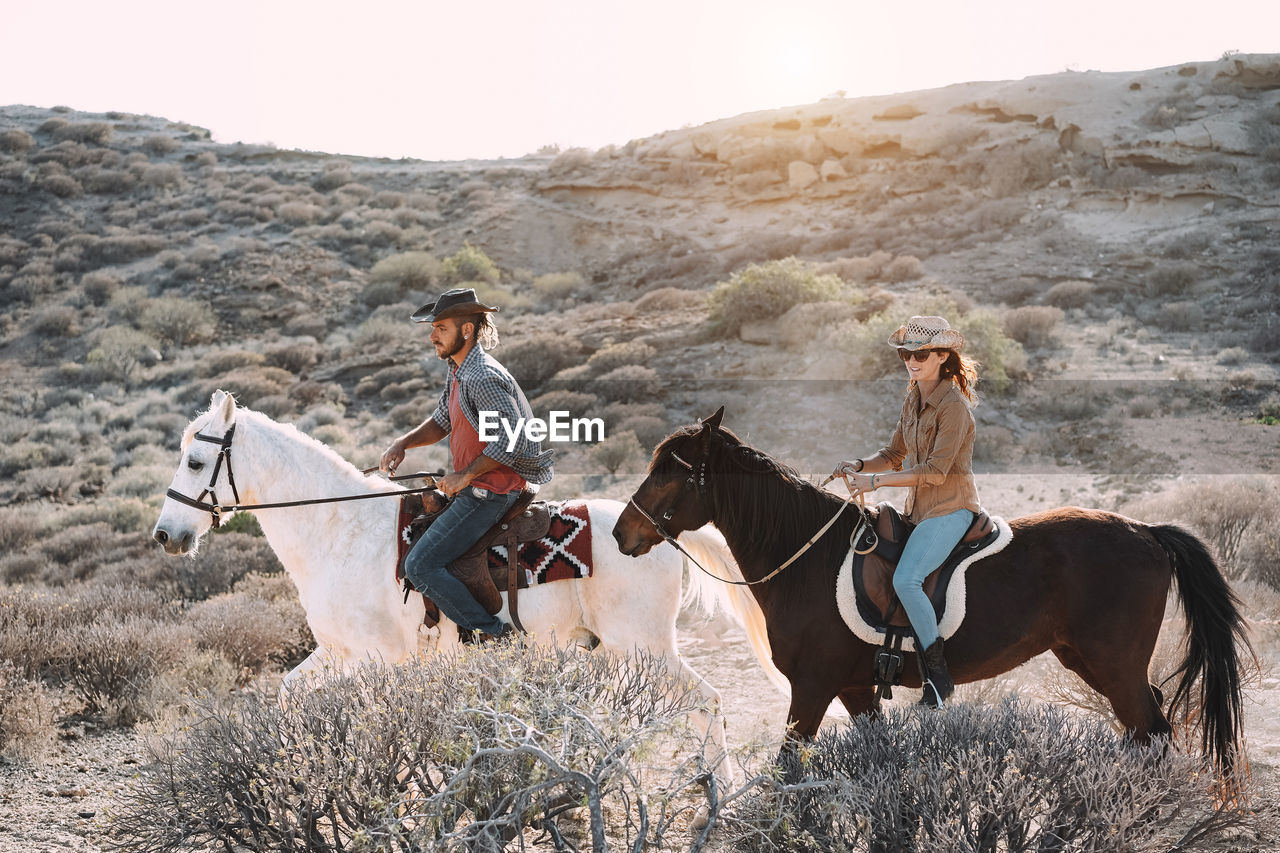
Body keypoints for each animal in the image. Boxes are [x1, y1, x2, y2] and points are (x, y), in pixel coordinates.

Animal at [154, 389, 773, 778]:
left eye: (194, 461)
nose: (165, 535)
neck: (340, 528)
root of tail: (652, 532)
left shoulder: (379, 659)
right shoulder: (337, 652)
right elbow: (288, 697)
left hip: (644, 646)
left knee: (707, 703)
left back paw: (717, 795)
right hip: (618, 652)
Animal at [614, 409, 1254, 773]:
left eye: (670, 471)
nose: (622, 534)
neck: (807, 560)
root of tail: (1146, 531)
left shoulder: (812, 688)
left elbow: (786, 771)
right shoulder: (854, 688)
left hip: (1115, 667)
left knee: (1152, 736)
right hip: (1092, 663)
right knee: (1151, 735)